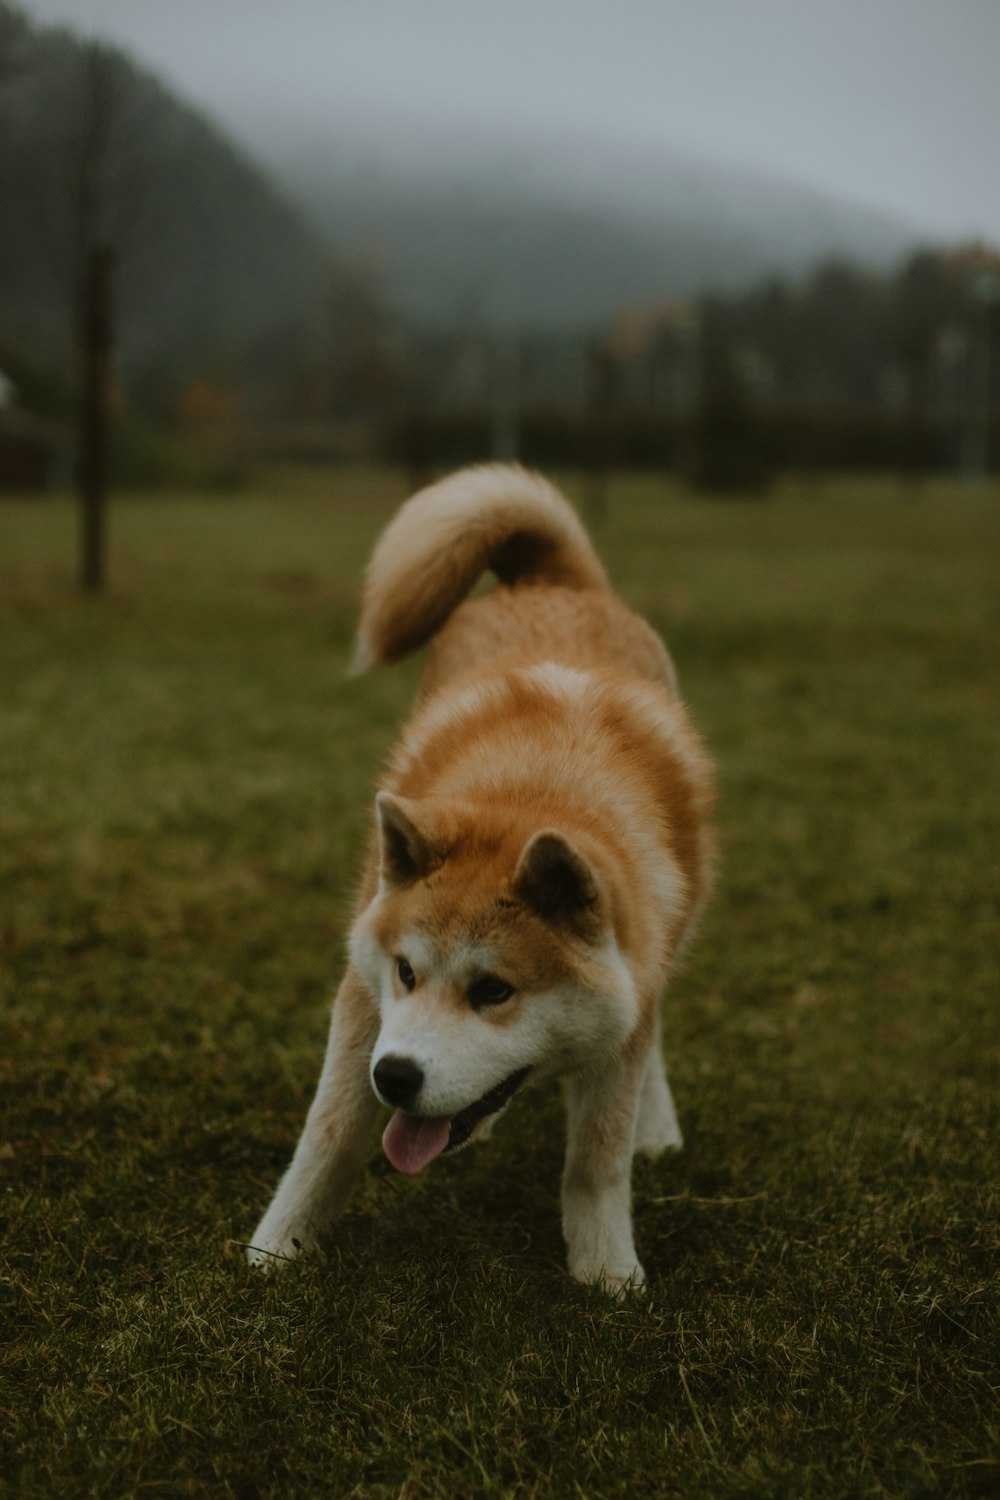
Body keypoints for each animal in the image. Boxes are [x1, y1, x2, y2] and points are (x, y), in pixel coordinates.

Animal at [250, 468, 719, 1290]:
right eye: (405, 972)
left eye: (495, 991)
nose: (396, 1078)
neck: (539, 791)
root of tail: (552, 581)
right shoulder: (363, 1001)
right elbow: (329, 1136)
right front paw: (279, 1247)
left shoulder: (627, 1002)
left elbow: (596, 1162)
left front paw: (606, 1272)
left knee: (651, 1029)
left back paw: (654, 1126)